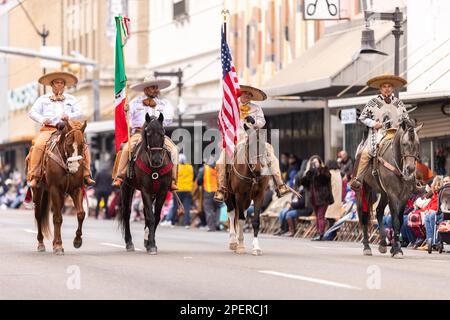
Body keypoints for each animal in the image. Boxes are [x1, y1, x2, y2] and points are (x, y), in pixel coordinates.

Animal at [32, 119, 88, 255]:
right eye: (68, 143)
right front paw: (58, 245)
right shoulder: (55, 189)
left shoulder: (76, 189)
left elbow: (80, 213)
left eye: (82, 144)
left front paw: (77, 241)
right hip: (39, 191)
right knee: (38, 214)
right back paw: (41, 243)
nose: (74, 167)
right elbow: (57, 218)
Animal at [116, 112, 172, 255]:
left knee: (146, 214)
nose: (157, 160)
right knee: (127, 213)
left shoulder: (162, 191)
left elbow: (155, 217)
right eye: (148, 133)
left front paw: (150, 242)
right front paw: (151, 245)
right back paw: (129, 242)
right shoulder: (145, 190)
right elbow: (151, 217)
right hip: (126, 187)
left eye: (162, 133)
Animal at [356, 119, 424, 258]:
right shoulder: (392, 194)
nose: (410, 169)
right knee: (364, 214)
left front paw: (396, 248)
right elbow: (395, 220)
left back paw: (382, 243)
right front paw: (397, 249)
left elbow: (399, 220)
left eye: (417, 144)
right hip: (365, 189)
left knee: (379, 211)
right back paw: (366, 247)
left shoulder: (404, 196)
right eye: (404, 144)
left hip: (383, 192)